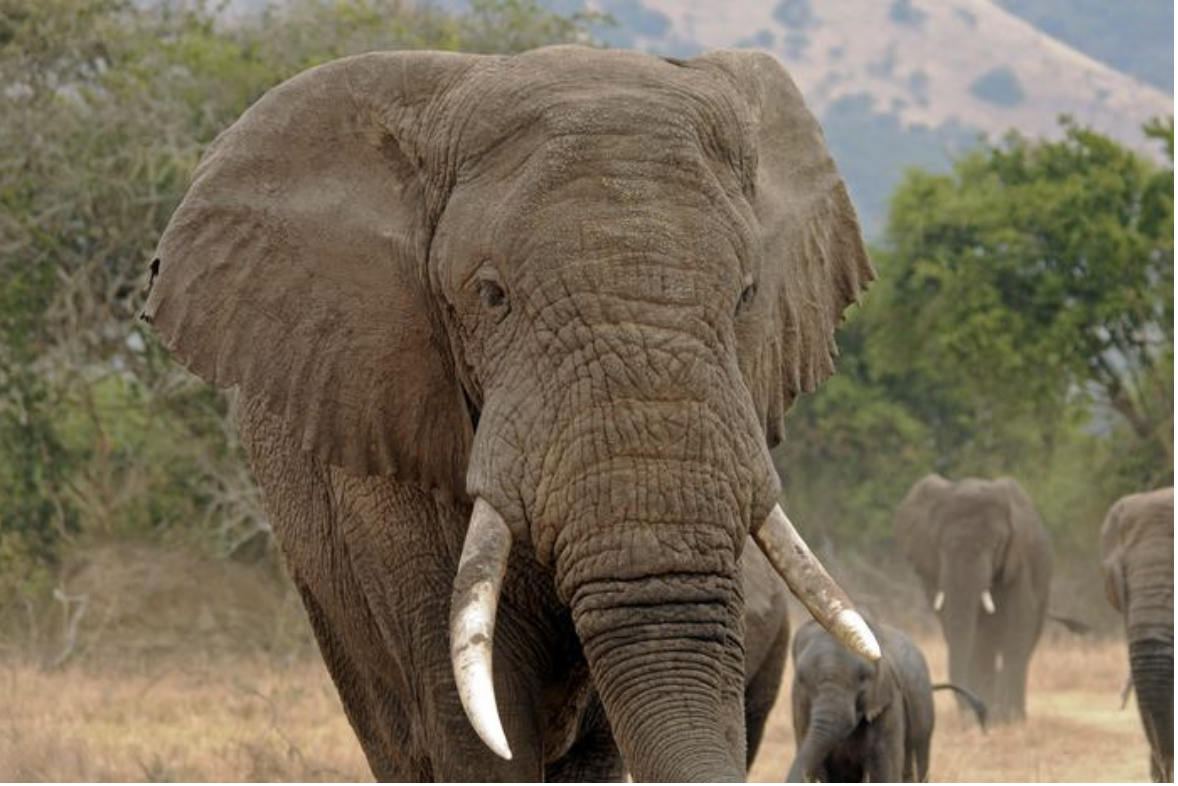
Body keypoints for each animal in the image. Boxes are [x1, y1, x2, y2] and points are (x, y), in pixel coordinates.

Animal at [786, 618, 986, 783]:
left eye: (864, 678)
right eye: (801, 678)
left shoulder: (889, 701)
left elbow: (883, 770)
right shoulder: (800, 707)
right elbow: (816, 769)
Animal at [894, 474, 1052, 724]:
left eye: (997, 546)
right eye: (939, 547)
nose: (974, 712)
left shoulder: (1019, 562)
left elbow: (1019, 625)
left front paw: (1008, 721)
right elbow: (964, 633)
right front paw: (981, 720)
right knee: (984, 645)